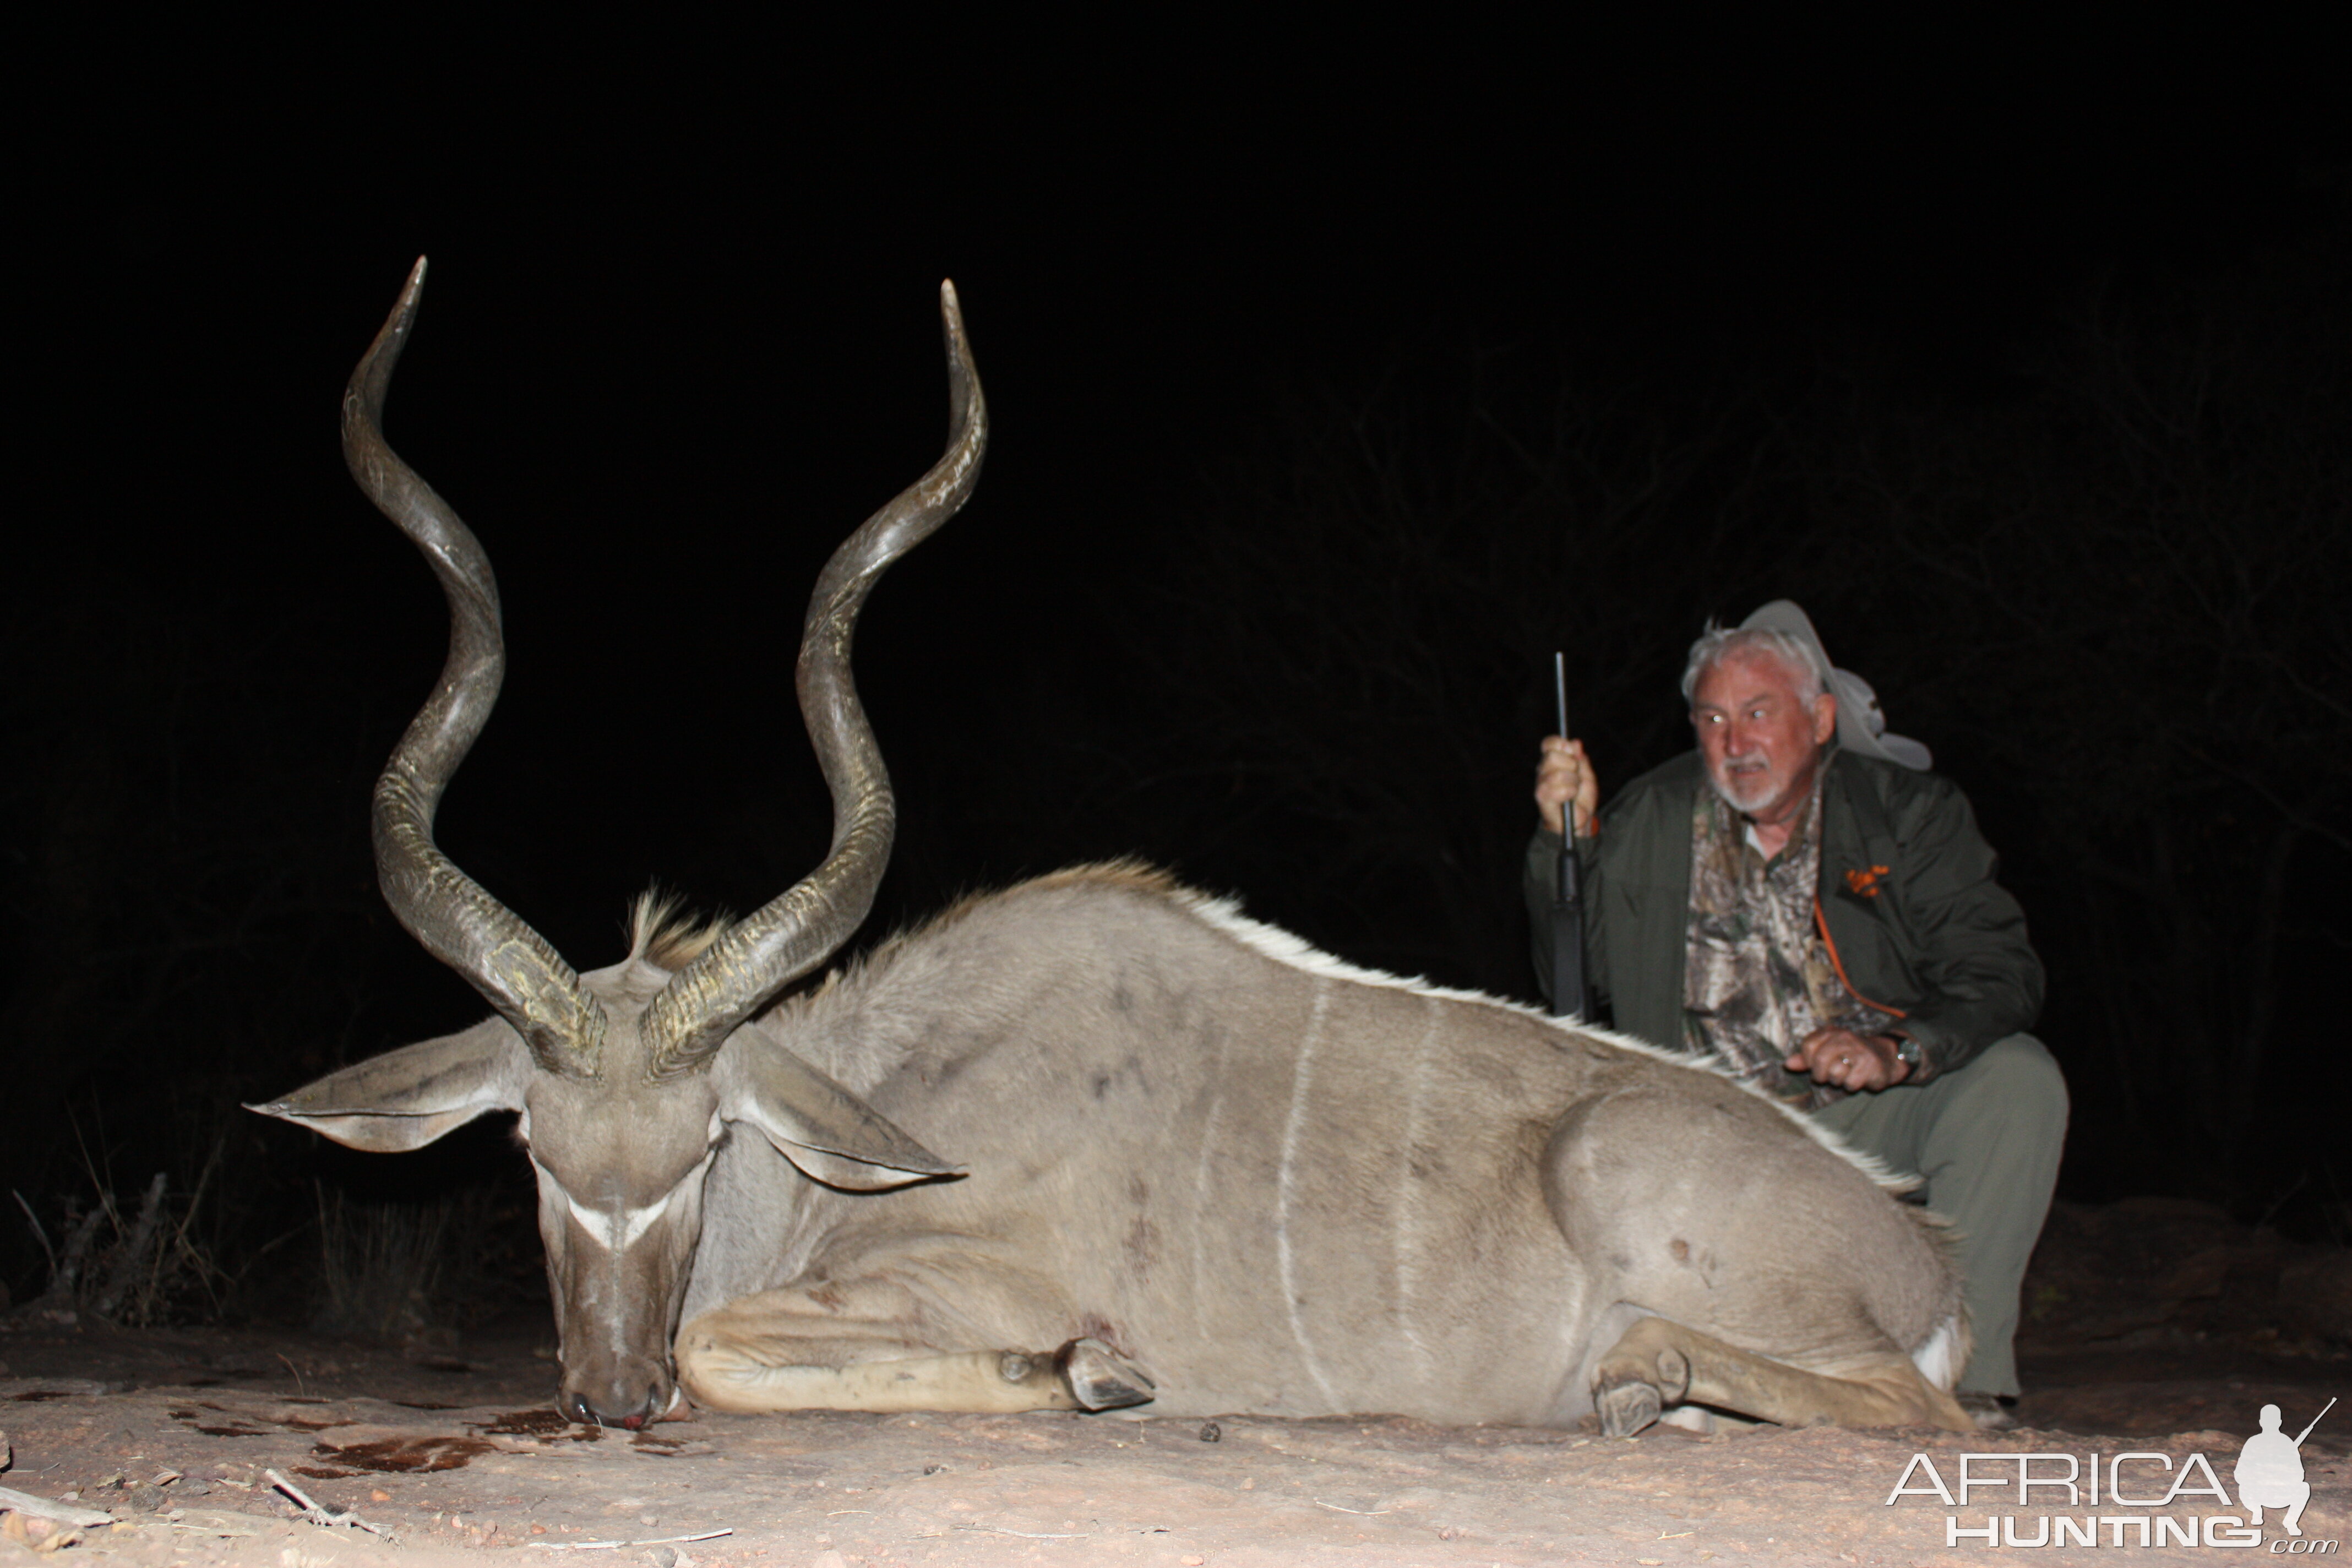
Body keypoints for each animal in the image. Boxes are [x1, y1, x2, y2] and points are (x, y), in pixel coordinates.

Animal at [248, 263, 1975, 1439]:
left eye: (700, 1151)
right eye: (534, 1151)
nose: (602, 1396)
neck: (872, 1115)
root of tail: (1924, 1263)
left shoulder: (958, 1274)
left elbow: (722, 1344)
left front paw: (1085, 1370)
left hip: (1661, 1198)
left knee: (1920, 1406)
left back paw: (1642, 1372)